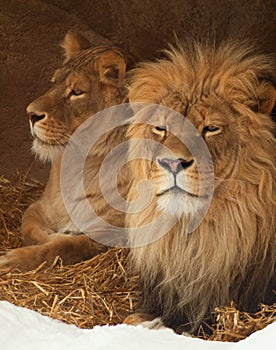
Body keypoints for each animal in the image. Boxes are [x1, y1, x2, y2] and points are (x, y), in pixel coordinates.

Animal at [0, 32, 128, 270]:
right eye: (53, 83)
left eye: (76, 92)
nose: (30, 114)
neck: (83, 163)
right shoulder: (40, 207)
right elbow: (30, 229)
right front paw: (53, 235)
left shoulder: (115, 232)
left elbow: (65, 247)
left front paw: (10, 260)